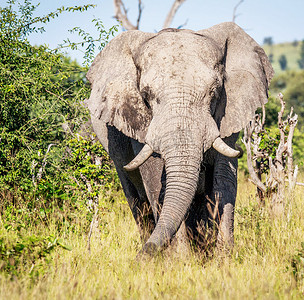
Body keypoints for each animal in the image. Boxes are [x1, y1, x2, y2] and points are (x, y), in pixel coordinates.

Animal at [85, 21, 274, 255]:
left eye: (214, 92)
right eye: (146, 95)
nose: (139, 257)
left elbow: (224, 178)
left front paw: (225, 257)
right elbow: (155, 178)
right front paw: (180, 259)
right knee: (136, 199)